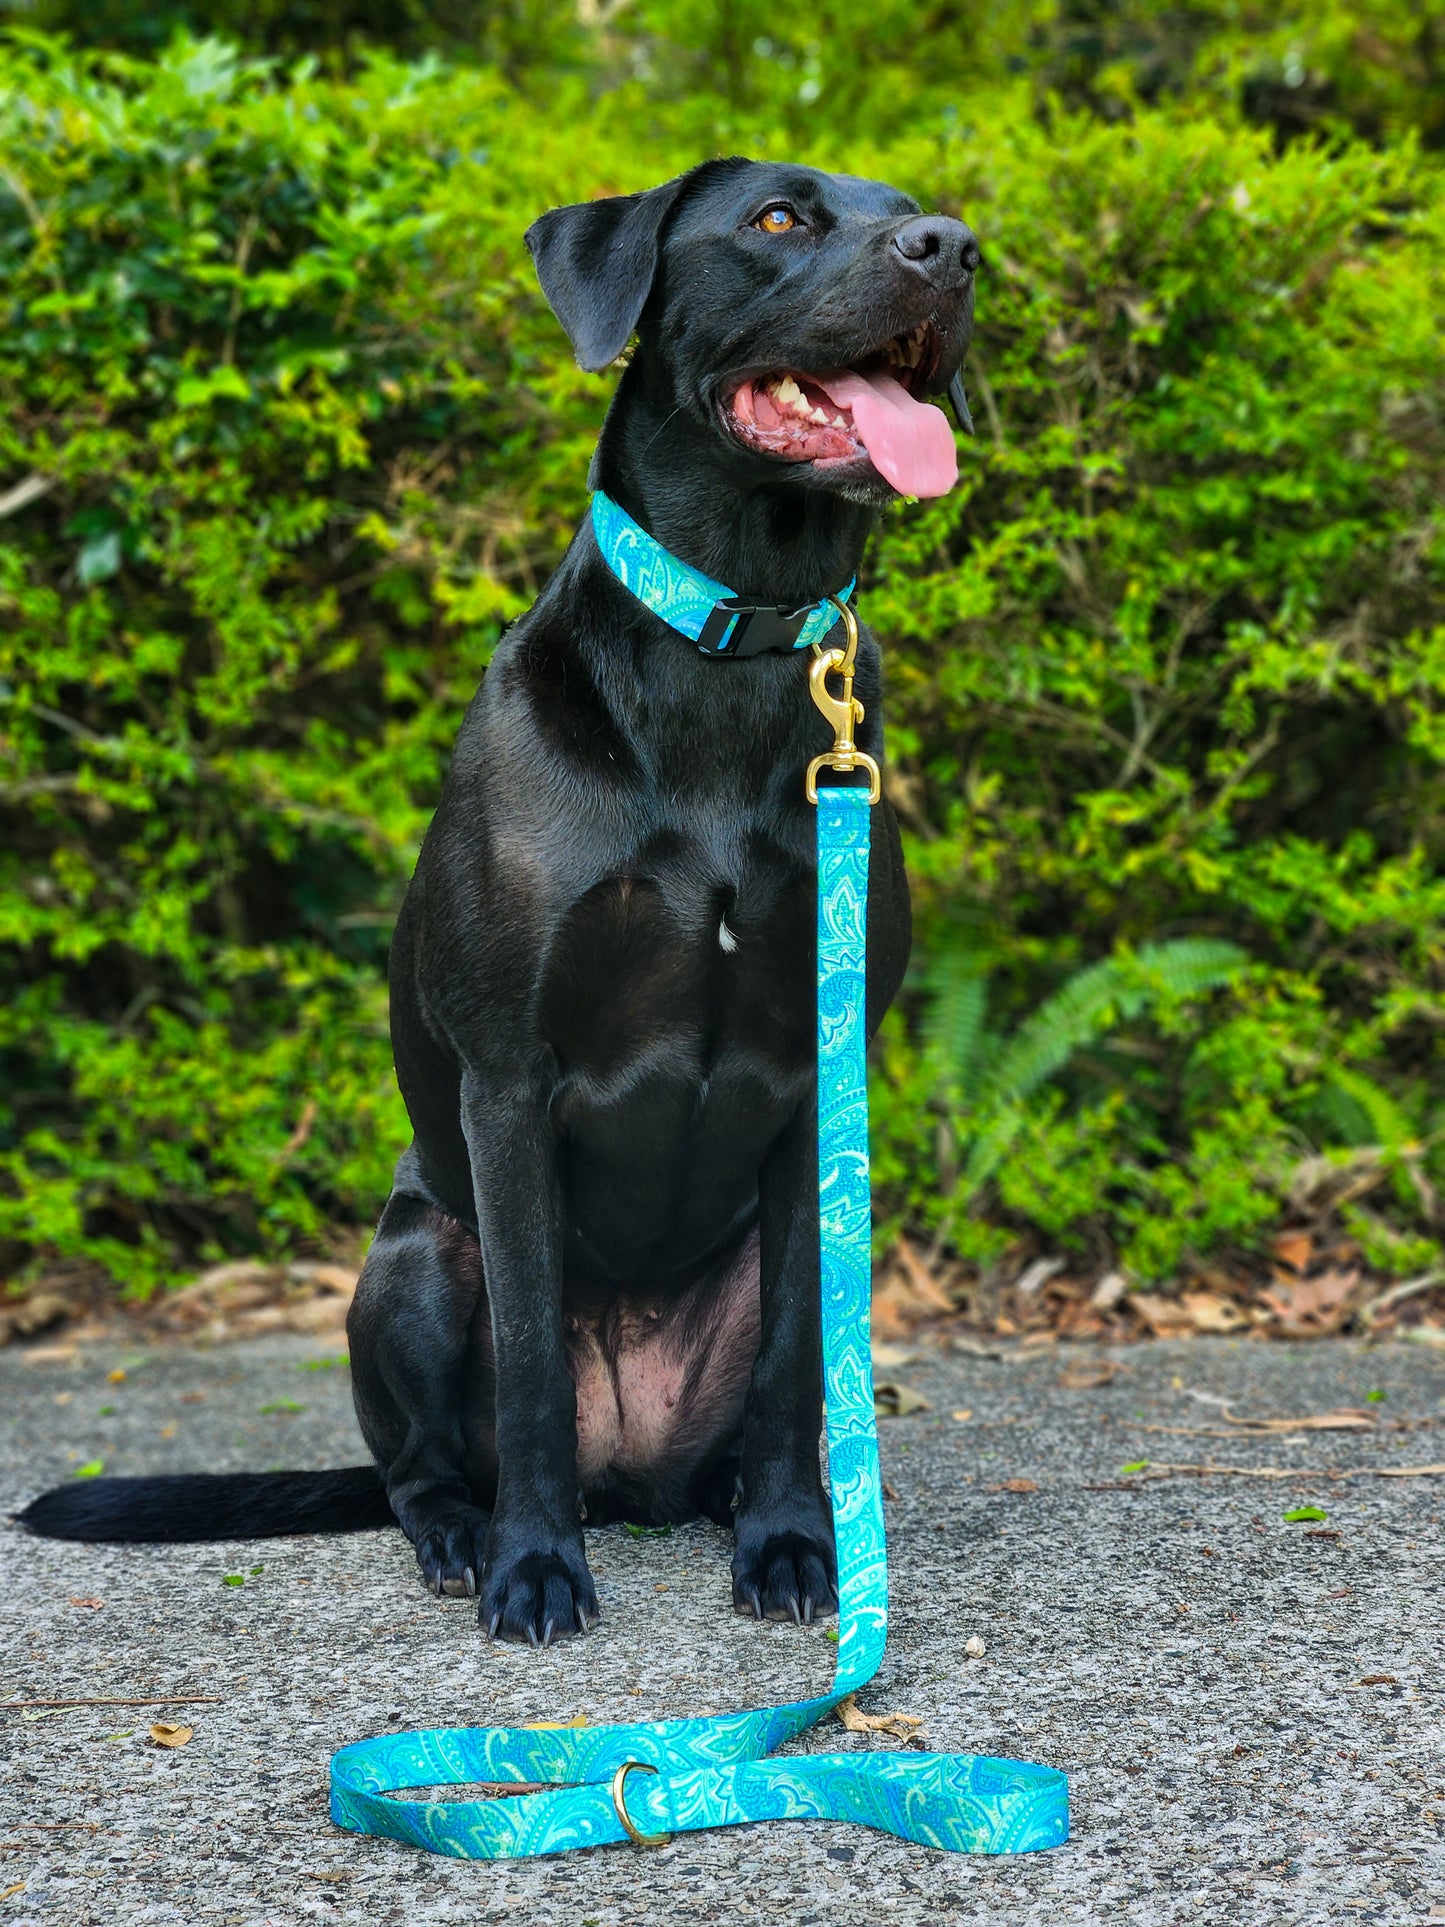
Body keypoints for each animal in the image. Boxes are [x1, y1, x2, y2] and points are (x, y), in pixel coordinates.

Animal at [16, 158, 978, 1649]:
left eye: (910, 205)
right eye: (779, 218)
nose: (954, 250)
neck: (733, 644)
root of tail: (632, 1474)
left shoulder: (819, 1087)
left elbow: (781, 1373)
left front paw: (791, 1546)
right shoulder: (511, 1079)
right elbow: (528, 1359)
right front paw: (536, 1566)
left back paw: (732, 1505)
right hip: (413, 1254)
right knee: (421, 1463)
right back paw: (469, 1534)